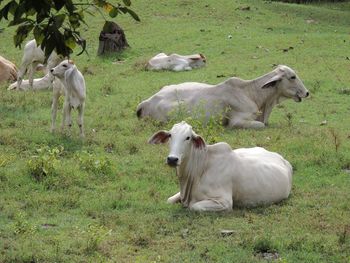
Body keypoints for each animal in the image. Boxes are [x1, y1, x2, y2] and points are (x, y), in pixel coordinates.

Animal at [149, 121, 294, 212]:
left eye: (188, 137)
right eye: (170, 135)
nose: (172, 159)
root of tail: (282, 159)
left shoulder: (224, 202)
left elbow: (194, 206)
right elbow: (169, 200)